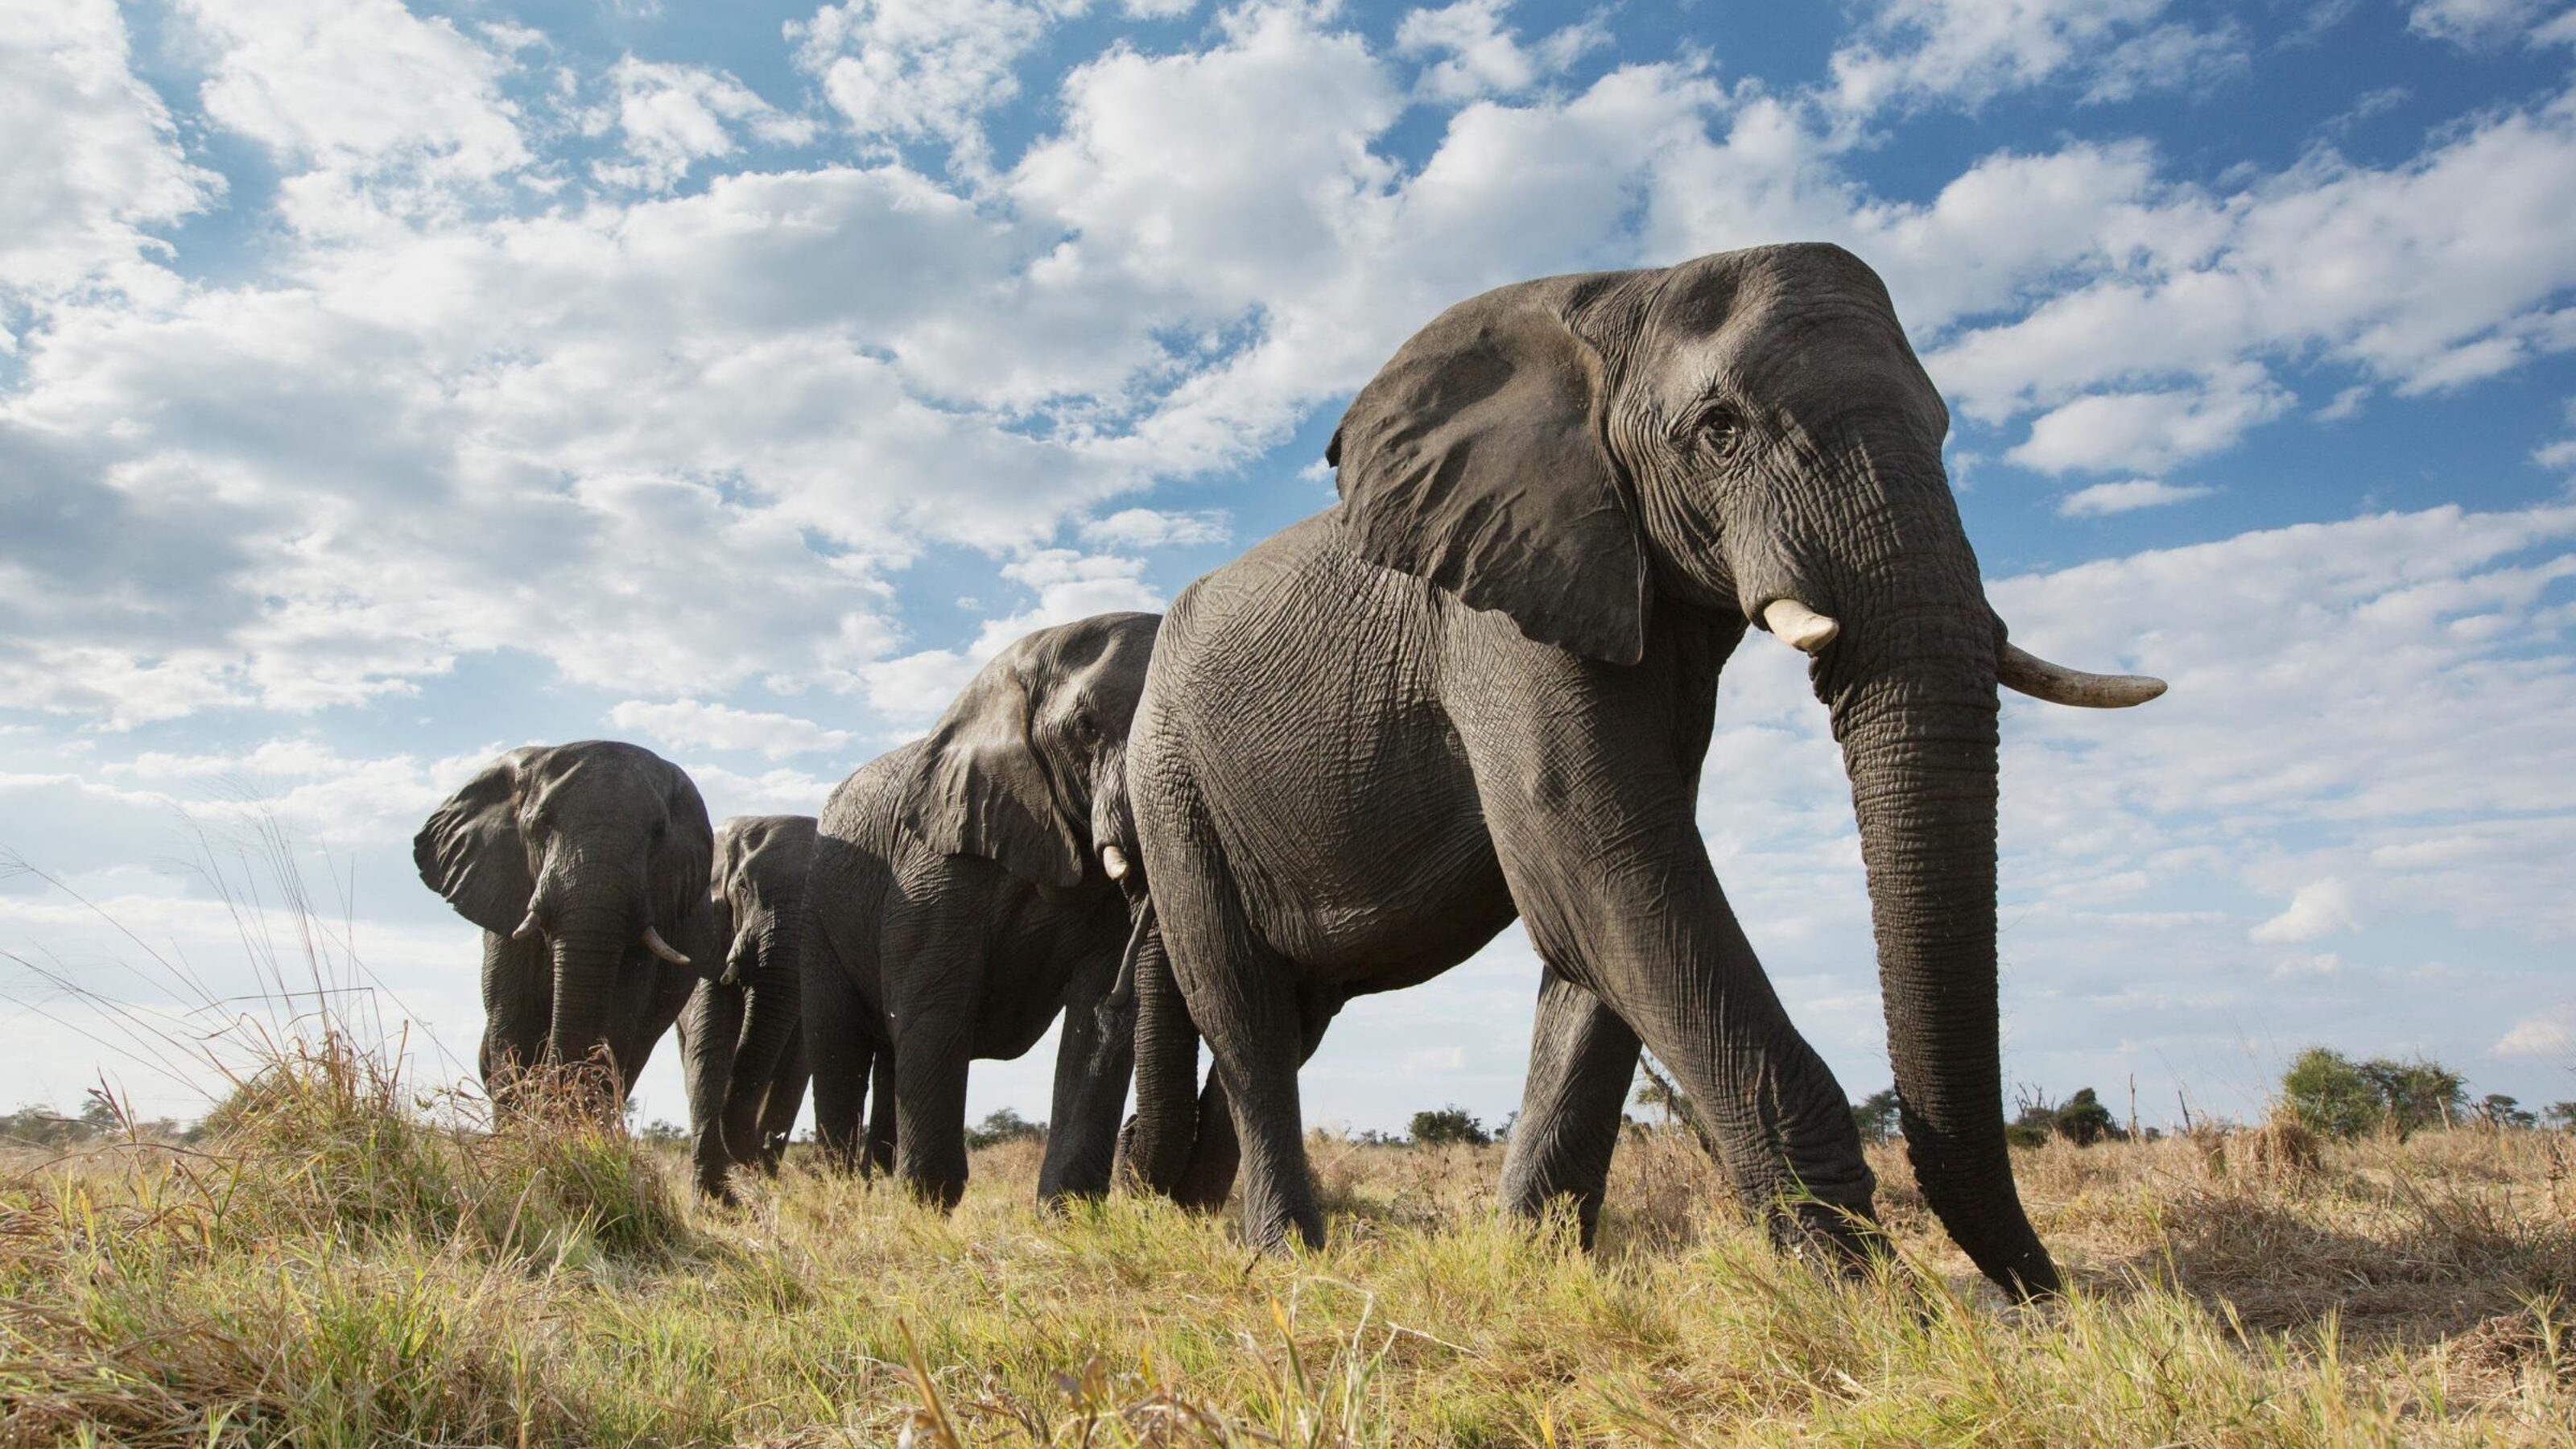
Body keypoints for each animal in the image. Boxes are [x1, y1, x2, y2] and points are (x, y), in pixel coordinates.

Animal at [675, 814, 820, 1199]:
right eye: (742, 888)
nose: (767, 1141)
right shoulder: (717, 933)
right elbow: (710, 1048)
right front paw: (717, 1203)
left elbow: (794, 1069)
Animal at [801, 611, 1159, 1209]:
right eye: (1086, 729)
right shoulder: (935, 864)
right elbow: (936, 1007)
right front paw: (924, 1210)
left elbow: (1091, 1026)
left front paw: (1066, 1216)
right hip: (818, 914)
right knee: (838, 1043)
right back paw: (842, 1193)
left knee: (890, 1053)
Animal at [1120, 243, 2164, 1299]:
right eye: (1719, 430)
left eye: (1946, 428)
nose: (2035, 1297)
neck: (1625, 295)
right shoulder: (1497, 610)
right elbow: (1601, 860)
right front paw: (1867, 1300)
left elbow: (1602, 918)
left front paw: (1534, 1274)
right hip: (1170, 780)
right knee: (1243, 1009)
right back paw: (1283, 1260)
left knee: (1294, 1012)